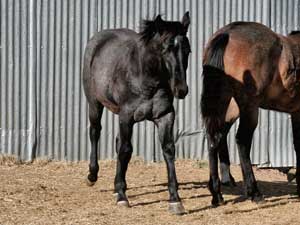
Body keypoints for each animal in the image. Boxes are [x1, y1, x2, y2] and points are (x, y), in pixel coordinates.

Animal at [82, 12, 190, 214]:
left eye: (187, 50)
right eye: (166, 49)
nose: (181, 90)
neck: (147, 78)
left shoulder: (165, 116)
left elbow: (168, 149)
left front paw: (175, 200)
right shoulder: (127, 116)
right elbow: (126, 150)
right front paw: (122, 197)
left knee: (117, 142)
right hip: (94, 103)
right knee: (95, 132)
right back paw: (92, 175)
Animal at [200, 22, 300, 207]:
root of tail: (227, 33)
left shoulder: (296, 113)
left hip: (225, 101)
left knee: (215, 137)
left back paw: (217, 193)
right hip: (249, 107)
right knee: (242, 141)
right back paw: (254, 192)